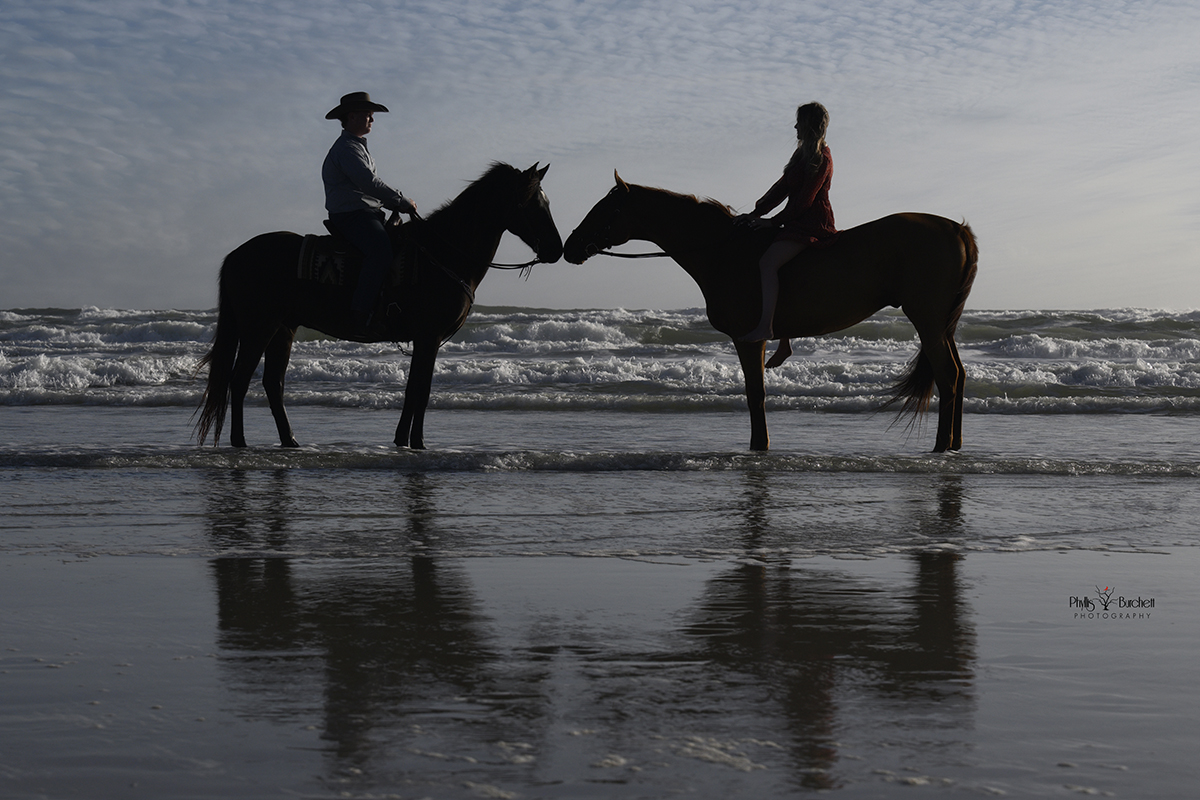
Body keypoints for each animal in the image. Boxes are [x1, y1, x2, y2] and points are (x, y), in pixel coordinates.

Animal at [195, 163, 561, 450]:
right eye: (533, 203)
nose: (556, 249)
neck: (442, 253)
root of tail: (236, 255)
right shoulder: (428, 338)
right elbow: (421, 391)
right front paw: (419, 443)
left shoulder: (423, 340)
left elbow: (413, 390)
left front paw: (403, 440)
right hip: (259, 327)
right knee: (239, 380)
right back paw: (240, 442)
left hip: (283, 330)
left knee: (273, 383)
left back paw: (290, 441)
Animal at [561, 172, 974, 453]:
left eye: (606, 209)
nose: (570, 247)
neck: (723, 250)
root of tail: (956, 228)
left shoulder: (748, 340)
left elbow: (755, 394)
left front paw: (759, 446)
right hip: (942, 326)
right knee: (959, 373)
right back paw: (953, 444)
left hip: (928, 321)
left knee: (948, 376)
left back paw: (941, 447)